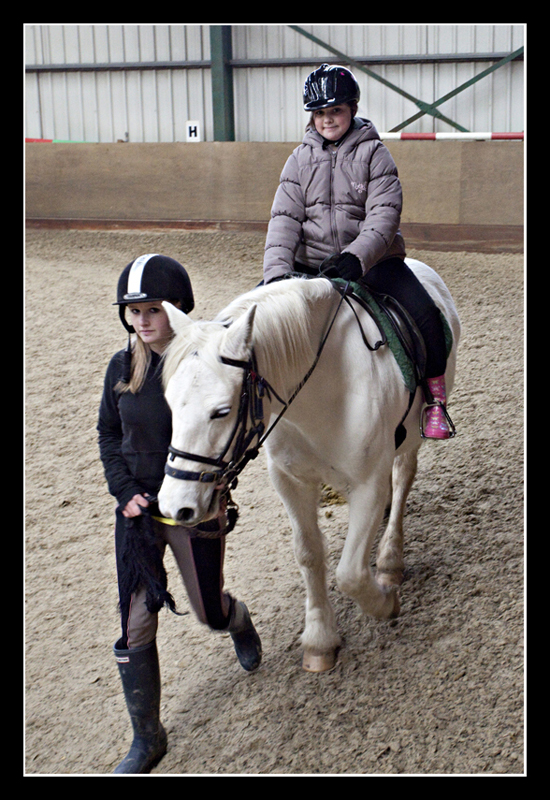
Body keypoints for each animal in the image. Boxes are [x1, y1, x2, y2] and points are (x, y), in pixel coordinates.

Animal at [158, 260, 462, 672]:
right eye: (170, 404)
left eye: (221, 411)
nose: (175, 505)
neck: (322, 391)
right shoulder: (290, 480)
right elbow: (308, 554)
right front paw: (319, 639)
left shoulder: (367, 484)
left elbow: (350, 573)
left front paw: (384, 602)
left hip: (411, 438)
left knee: (401, 483)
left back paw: (389, 561)